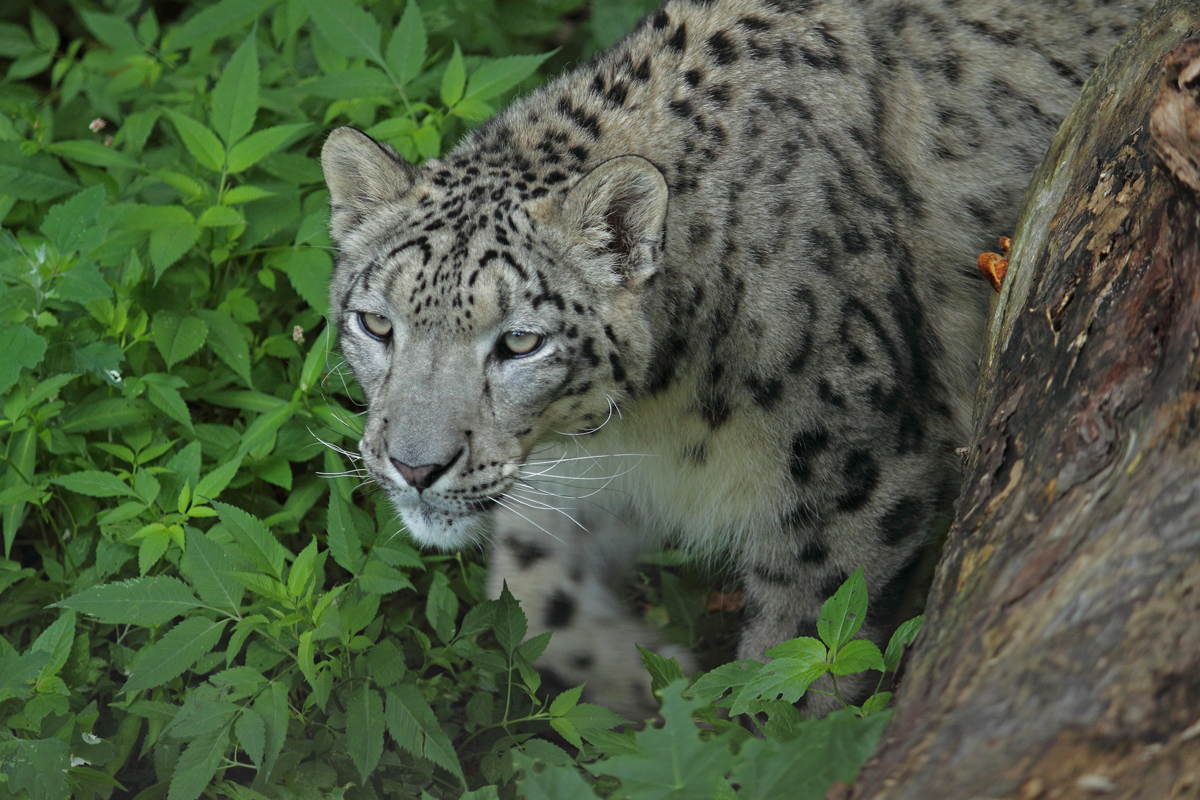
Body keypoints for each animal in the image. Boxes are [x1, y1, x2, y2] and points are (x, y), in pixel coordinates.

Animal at [321, 0, 1150, 719]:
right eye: (376, 324)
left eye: (521, 341)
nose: (415, 467)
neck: (655, 421)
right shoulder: (589, 476)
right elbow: (530, 590)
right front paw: (654, 688)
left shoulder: (855, 477)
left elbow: (804, 657)